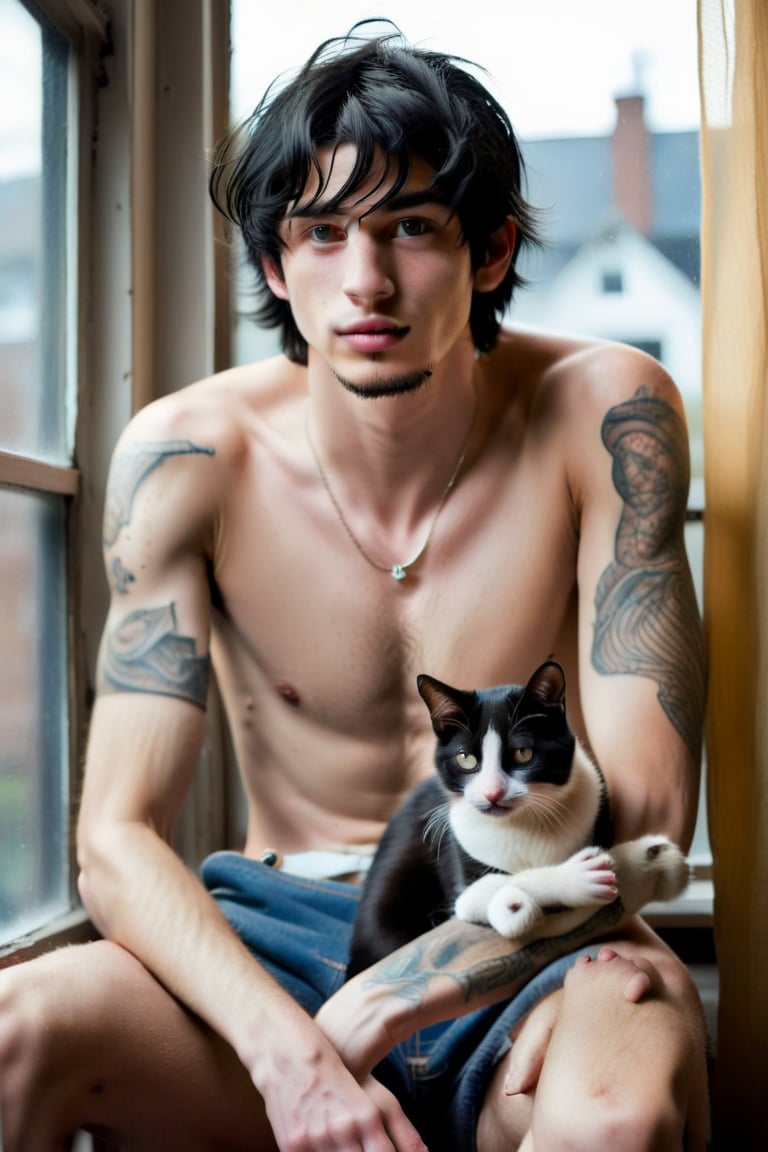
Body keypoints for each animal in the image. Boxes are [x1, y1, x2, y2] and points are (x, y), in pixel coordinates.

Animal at [345, 663, 686, 976]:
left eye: (523, 753)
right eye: (465, 758)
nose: (492, 793)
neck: (524, 822)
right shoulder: (459, 877)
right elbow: (489, 887)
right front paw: (566, 883)